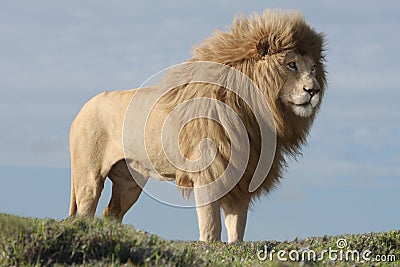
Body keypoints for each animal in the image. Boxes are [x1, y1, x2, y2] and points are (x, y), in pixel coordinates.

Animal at [68, 9, 324, 245]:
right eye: (291, 65)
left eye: (313, 68)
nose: (314, 90)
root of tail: (81, 111)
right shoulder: (208, 173)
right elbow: (211, 226)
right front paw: (210, 246)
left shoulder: (242, 178)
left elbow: (237, 227)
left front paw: (234, 248)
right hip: (88, 176)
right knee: (86, 211)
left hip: (129, 181)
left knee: (111, 213)